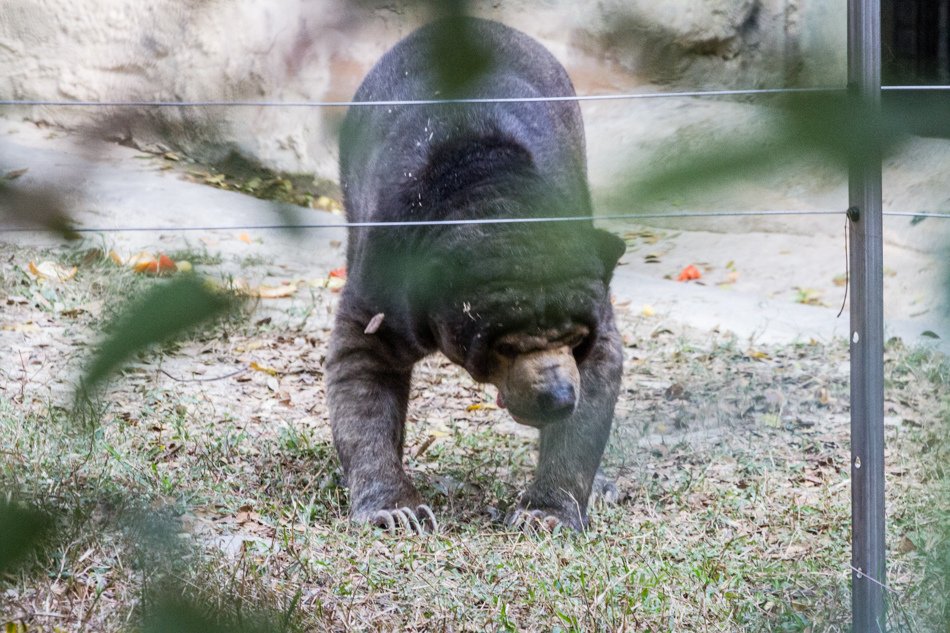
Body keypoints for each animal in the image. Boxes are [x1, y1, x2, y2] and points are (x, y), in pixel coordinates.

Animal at [324, 17, 628, 532]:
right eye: (504, 346)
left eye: (574, 337)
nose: (556, 396)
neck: (492, 196)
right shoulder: (390, 272)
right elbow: (362, 361)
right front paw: (395, 510)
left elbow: (599, 377)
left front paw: (546, 513)